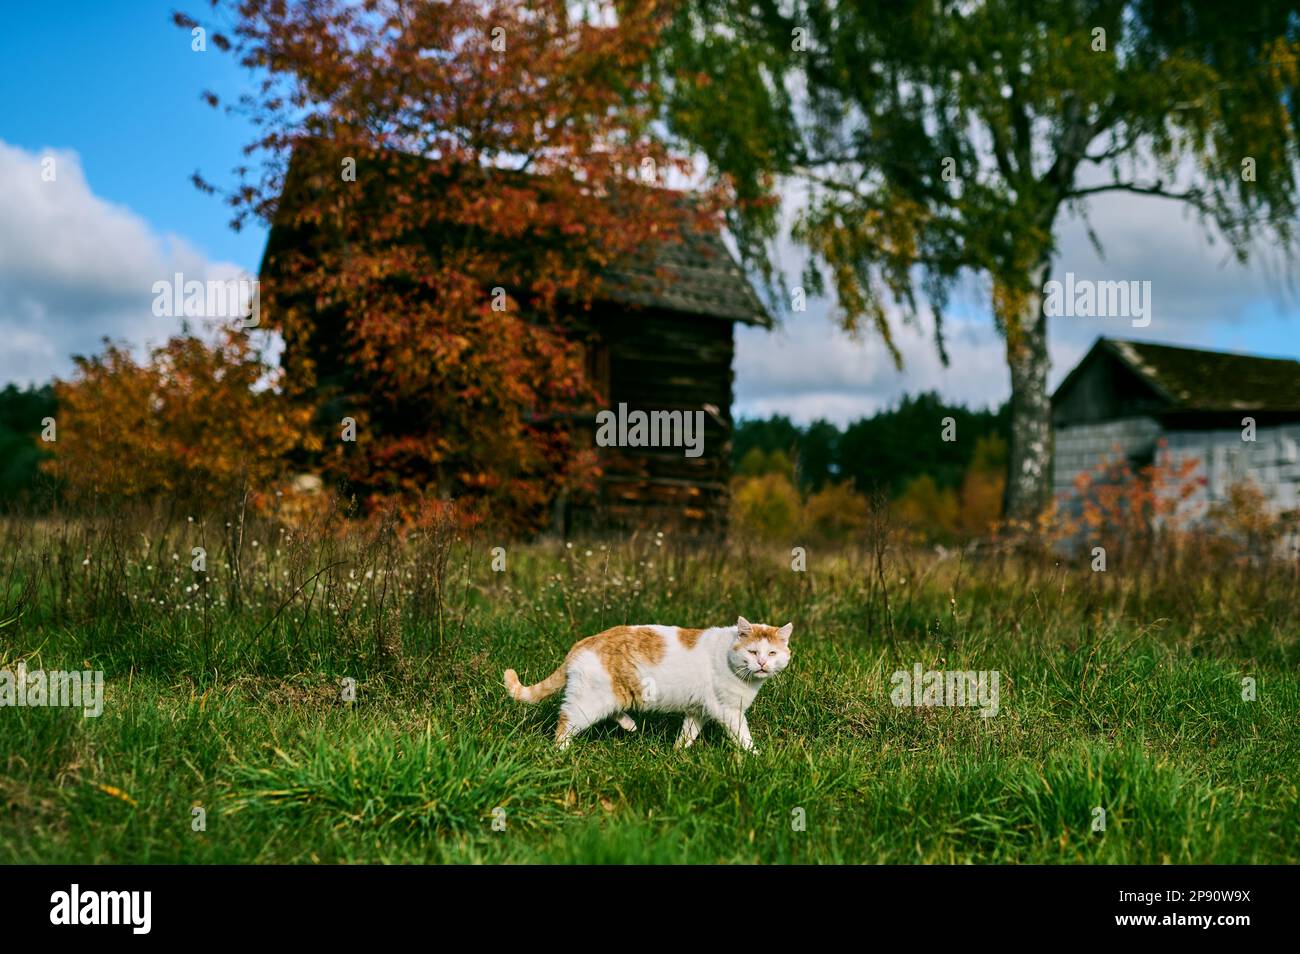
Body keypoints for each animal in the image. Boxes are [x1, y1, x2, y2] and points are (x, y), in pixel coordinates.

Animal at [504, 621, 790, 753]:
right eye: (752, 652)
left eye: (772, 653)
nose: (762, 663)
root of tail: (583, 642)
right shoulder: (729, 711)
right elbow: (743, 736)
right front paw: (756, 757)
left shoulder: (698, 711)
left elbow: (688, 734)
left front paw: (677, 754)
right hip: (589, 702)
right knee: (565, 721)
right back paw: (561, 751)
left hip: (609, 696)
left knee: (613, 711)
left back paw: (630, 724)